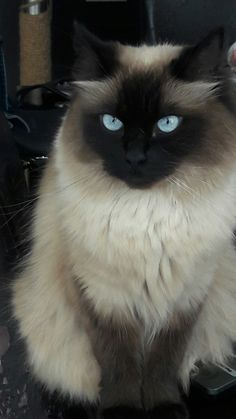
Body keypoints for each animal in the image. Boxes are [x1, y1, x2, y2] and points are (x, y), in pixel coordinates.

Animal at [12, 26, 236, 419]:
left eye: (167, 124)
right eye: (112, 123)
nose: (135, 158)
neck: (147, 214)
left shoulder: (185, 299)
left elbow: (164, 361)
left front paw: (164, 407)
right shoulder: (102, 298)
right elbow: (118, 364)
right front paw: (123, 411)